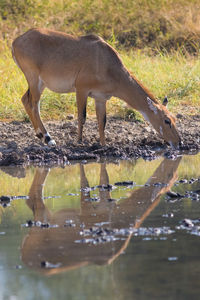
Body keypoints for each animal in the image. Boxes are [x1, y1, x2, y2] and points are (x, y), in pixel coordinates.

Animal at [12, 28, 181, 148]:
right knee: (33, 105)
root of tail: (16, 41)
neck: (107, 63)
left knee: (26, 100)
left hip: (40, 84)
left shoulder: (101, 98)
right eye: (166, 120)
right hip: (34, 79)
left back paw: (41, 136)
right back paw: (48, 139)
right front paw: (80, 141)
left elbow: (102, 122)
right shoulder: (81, 89)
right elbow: (82, 116)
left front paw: (103, 144)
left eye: (174, 118)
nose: (179, 142)